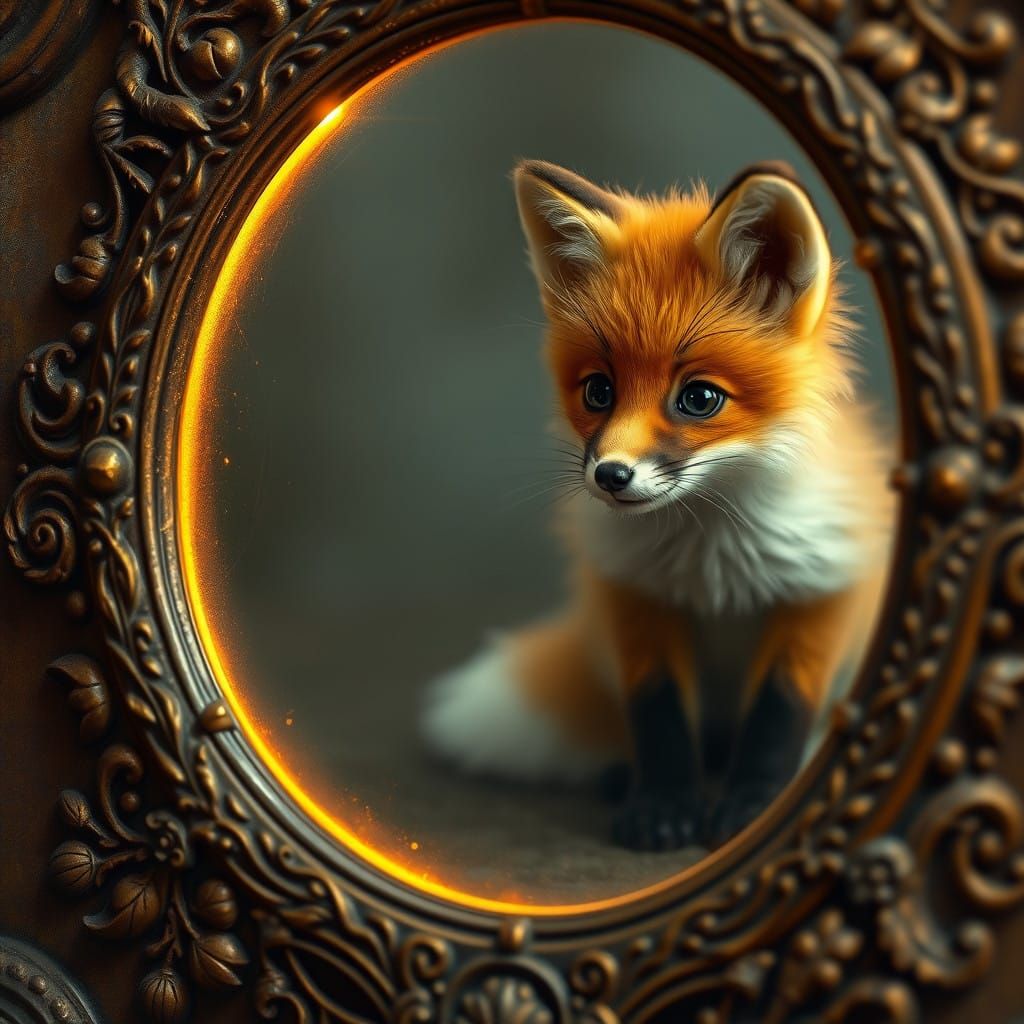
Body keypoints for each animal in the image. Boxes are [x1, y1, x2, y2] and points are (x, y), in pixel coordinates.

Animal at [421, 159, 892, 851]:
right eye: (598, 390)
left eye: (699, 398)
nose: (610, 476)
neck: (715, 563)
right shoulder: (635, 597)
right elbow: (660, 717)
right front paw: (663, 806)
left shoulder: (821, 588)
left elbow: (778, 716)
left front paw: (756, 806)